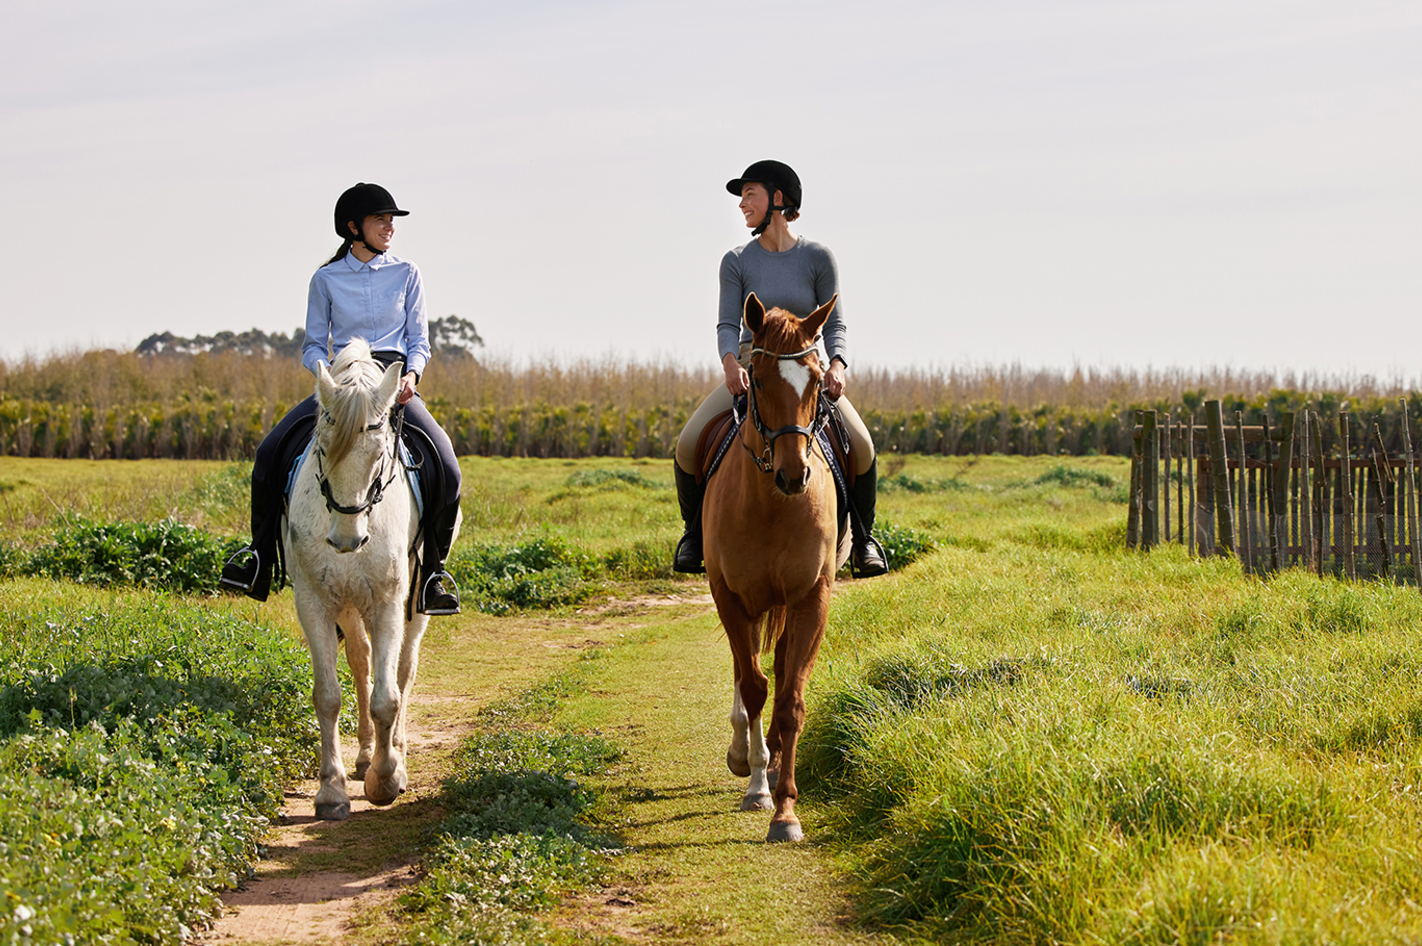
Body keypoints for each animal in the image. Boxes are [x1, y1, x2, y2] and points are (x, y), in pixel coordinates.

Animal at [277, 339, 455, 819]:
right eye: (321, 449)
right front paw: (332, 792)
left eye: (379, 455)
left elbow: (387, 697)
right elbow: (328, 695)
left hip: (415, 603)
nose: (346, 539)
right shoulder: (315, 603)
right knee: (361, 661)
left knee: (403, 672)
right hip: (349, 604)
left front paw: (386, 780)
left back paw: (396, 754)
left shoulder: (390, 603)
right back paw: (362, 757)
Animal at [705, 290, 847, 842]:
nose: (795, 475)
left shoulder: (812, 599)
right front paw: (757, 785)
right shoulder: (729, 597)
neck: (770, 504)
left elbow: (790, 701)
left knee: (782, 666)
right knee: (747, 673)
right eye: (759, 381)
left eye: (817, 381)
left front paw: (786, 810)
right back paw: (745, 753)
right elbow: (753, 685)